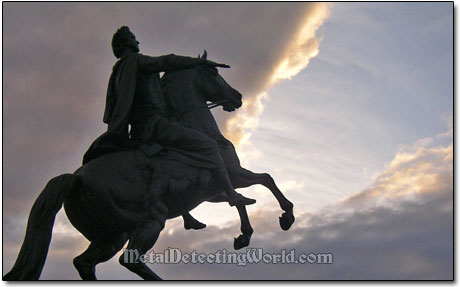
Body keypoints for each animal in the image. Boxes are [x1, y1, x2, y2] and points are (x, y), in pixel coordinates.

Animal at [3, 51, 294, 282]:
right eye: (213, 72)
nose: (237, 97)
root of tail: (76, 179)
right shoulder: (230, 174)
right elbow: (262, 181)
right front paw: (282, 218)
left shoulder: (212, 193)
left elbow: (245, 196)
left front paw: (245, 232)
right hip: (148, 222)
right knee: (128, 260)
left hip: (110, 235)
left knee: (84, 262)